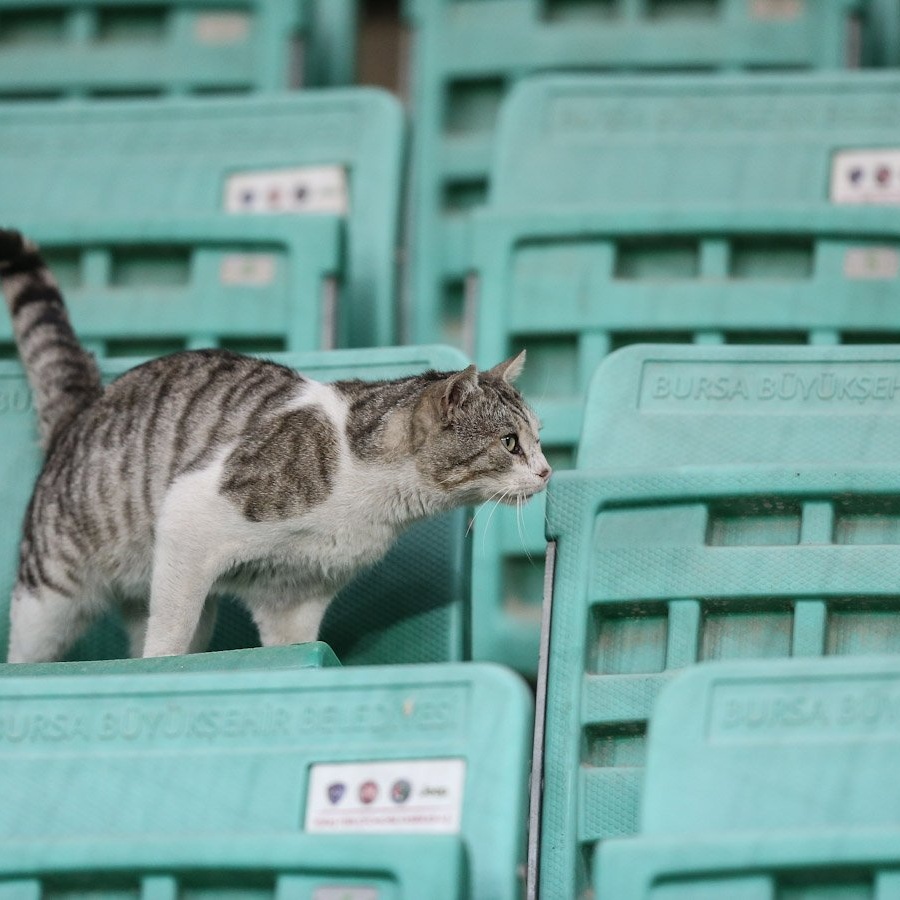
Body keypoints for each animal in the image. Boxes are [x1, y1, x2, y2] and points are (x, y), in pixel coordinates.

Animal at [0, 229, 552, 664]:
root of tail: (83, 407)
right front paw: (161, 667)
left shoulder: (294, 594)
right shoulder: (189, 514)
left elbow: (290, 645)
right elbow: (169, 636)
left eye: (538, 440)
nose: (548, 471)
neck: (374, 497)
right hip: (51, 596)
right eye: (510, 443)